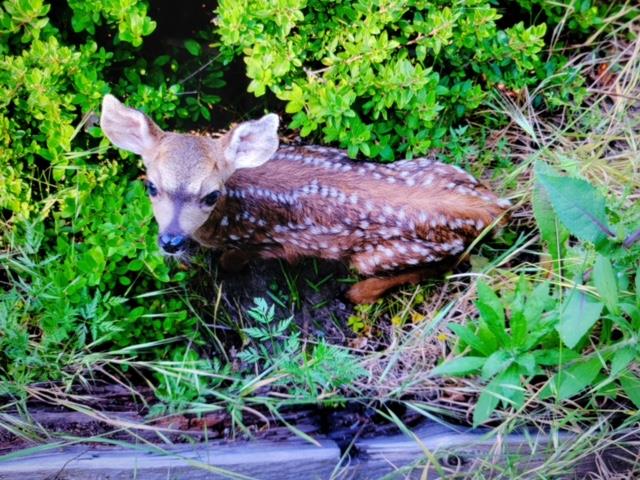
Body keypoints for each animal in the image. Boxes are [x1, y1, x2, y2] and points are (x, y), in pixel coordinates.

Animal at [100, 94, 510, 304]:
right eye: (151, 186)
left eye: (211, 194)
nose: (170, 241)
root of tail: (494, 209)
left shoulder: (258, 240)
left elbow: (236, 260)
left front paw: (222, 270)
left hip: (393, 252)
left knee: (448, 263)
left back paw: (355, 294)